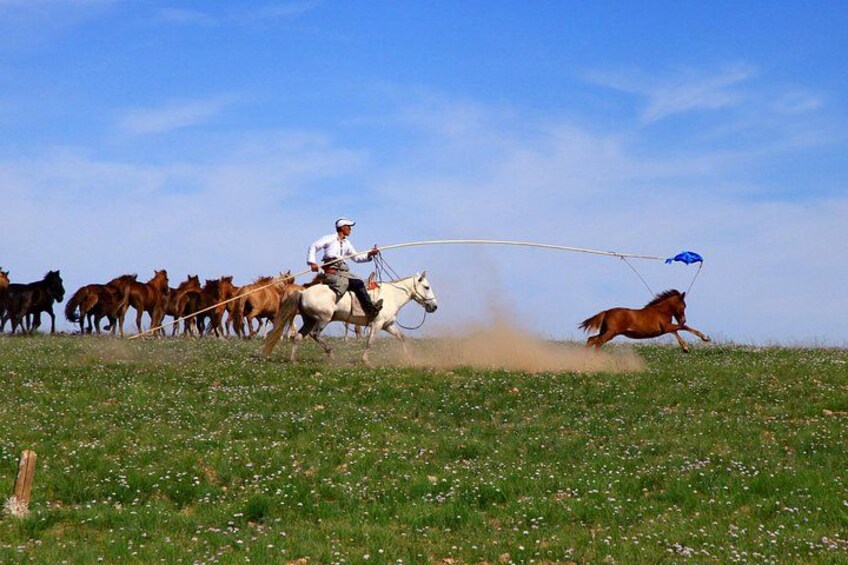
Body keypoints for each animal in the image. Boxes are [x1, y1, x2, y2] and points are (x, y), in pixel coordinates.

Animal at [262, 272, 438, 364]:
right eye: (427, 287)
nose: (434, 307)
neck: (391, 295)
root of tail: (302, 292)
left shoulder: (388, 325)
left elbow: (402, 337)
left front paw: (409, 358)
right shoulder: (376, 324)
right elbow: (370, 342)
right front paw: (366, 361)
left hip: (309, 320)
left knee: (298, 337)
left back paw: (293, 359)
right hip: (323, 318)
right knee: (314, 334)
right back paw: (330, 353)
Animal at [579, 289, 710, 352]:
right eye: (684, 306)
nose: (683, 320)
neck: (661, 310)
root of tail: (606, 312)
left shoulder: (667, 327)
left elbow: (676, 331)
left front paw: (685, 348)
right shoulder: (666, 327)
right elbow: (683, 328)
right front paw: (705, 338)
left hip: (605, 331)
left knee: (591, 340)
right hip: (611, 332)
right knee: (598, 342)